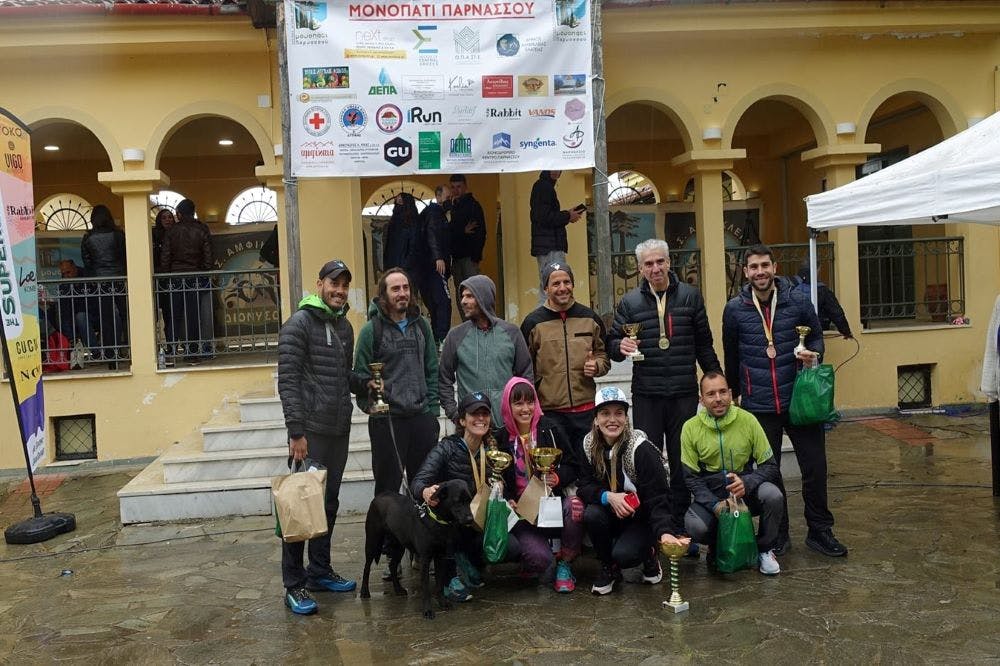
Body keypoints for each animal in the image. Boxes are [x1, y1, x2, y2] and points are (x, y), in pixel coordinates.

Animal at [359, 479, 474, 619]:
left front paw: (442, 602)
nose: (470, 519)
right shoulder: (425, 559)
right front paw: (427, 610)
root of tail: (379, 496)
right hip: (373, 541)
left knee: (392, 566)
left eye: (469, 500)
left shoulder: (441, 557)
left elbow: (440, 584)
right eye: (457, 501)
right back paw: (364, 592)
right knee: (367, 567)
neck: (437, 521)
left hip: (399, 546)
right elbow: (425, 587)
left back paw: (398, 589)